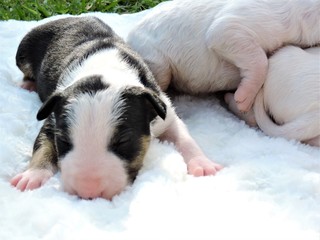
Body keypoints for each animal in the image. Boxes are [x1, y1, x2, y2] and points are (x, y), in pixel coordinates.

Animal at [10, 16, 222, 200]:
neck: (105, 69)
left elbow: (184, 137)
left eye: (123, 141)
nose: (88, 192)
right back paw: (27, 84)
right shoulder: (52, 115)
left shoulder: (164, 111)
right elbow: (42, 145)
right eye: (63, 140)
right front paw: (32, 175)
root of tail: (68, 18)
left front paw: (204, 165)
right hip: (23, 52)